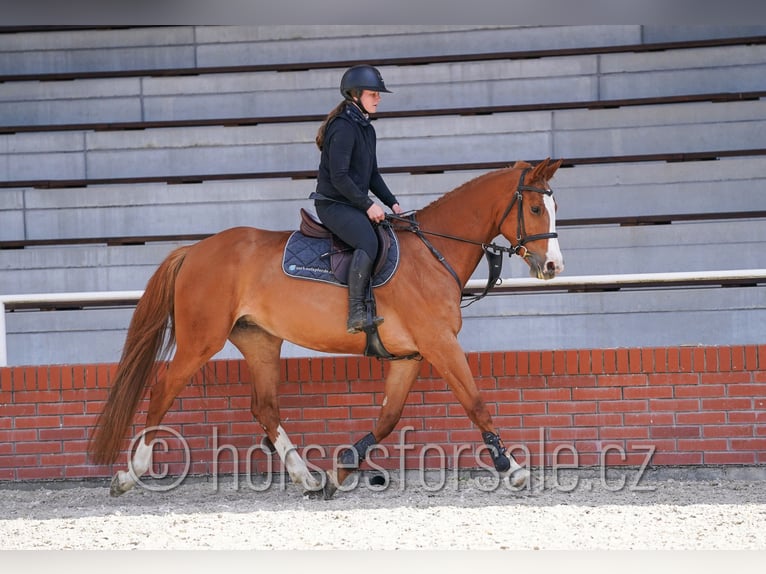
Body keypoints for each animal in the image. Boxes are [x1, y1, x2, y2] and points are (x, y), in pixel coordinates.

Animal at [88, 158, 565, 499]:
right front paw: (513, 470)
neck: (433, 253)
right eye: (535, 208)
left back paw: (308, 477)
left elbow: (388, 418)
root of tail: (193, 250)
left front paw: (341, 469)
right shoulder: (439, 344)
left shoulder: (410, 355)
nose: (554, 266)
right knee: (162, 391)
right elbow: (476, 403)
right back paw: (130, 474)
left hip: (260, 341)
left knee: (265, 408)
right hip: (199, 341)